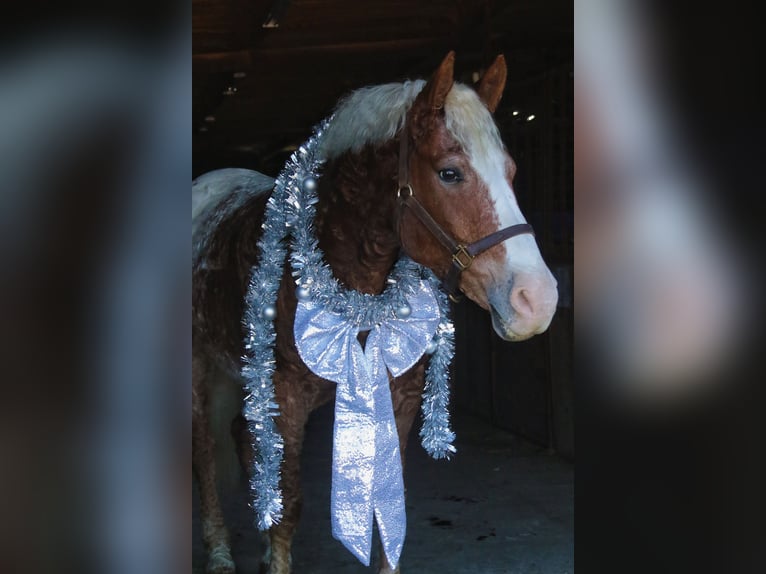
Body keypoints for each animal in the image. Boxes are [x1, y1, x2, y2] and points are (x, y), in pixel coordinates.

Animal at [192, 51, 559, 574]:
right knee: (205, 452)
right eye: (449, 173)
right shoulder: (286, 398)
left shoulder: (399, 395)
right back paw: (221, 553)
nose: (537, 300)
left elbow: (387, 508)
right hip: (202, 371)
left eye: (510, 171)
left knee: (244, 442)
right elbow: (289, 507)